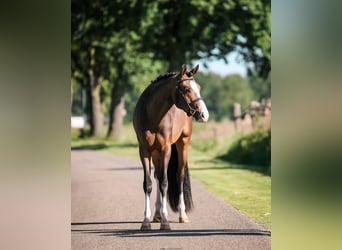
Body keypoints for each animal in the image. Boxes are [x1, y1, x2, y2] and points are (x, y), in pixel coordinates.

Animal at [133, 64, 208, 230]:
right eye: (186, 88)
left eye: (199, 87)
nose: (204, 114)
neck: (152, 115)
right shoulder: (144, 151)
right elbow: (148, 183)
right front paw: (146, 221)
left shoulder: (166, 149)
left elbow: (165, 183)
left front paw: (165, 221)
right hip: (156, 152)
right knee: (157, 176)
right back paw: (157, 214)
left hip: (183, 144)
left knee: (179, 176)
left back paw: (182, 215)